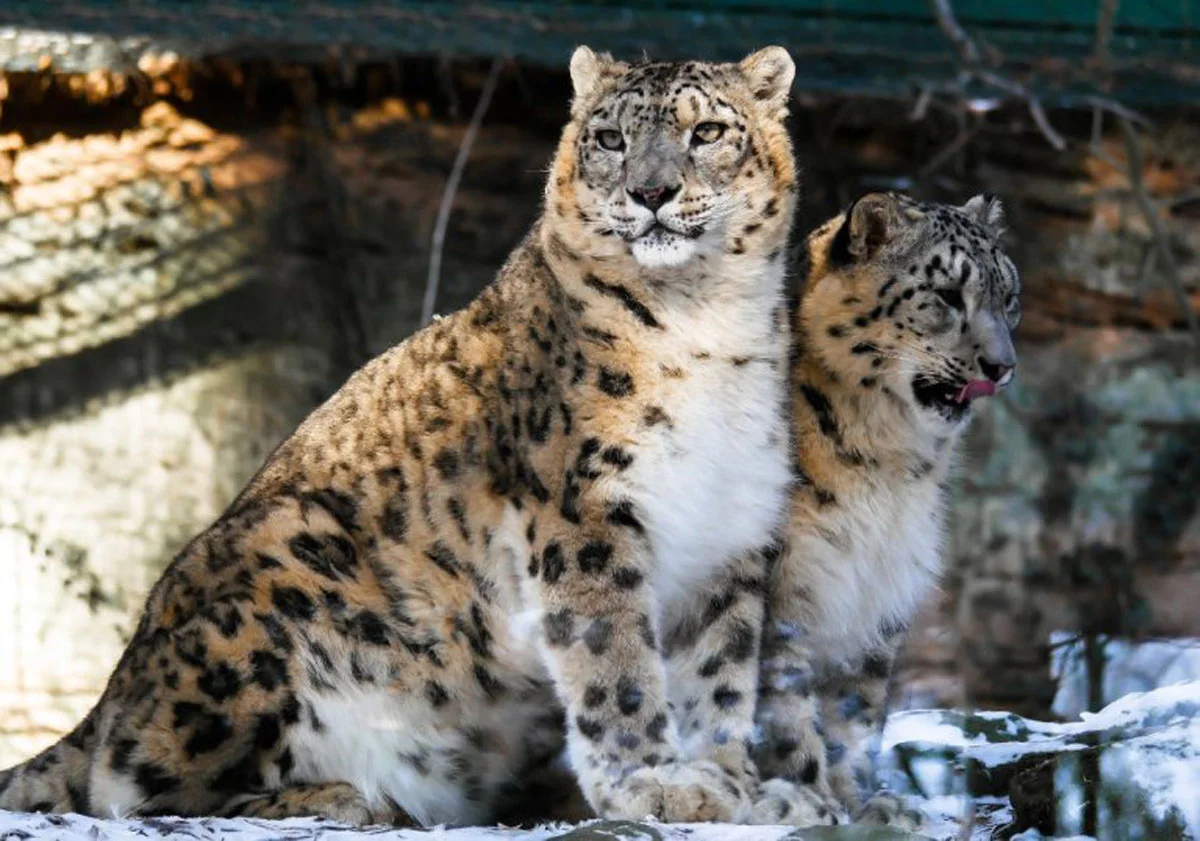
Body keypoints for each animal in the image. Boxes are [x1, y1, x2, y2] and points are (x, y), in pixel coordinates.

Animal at [0, 45, 800, 827]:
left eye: (706, 132)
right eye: (609, 139)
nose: (651, 191)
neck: (706, 327)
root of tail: (110, 688)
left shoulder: (730, 528)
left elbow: (722, 672)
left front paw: (737, 782)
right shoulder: (587, 512)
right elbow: (616, 657)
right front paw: (655, 782)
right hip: (273, 583)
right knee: (133, 784)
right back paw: (339, 796)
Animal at [749, 191, 1020, 828]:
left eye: (1010, 297)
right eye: (947, 294)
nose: (1002, 366)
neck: (886, 467)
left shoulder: (882, 589)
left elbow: (858, 708)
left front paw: (867, 802)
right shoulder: (786, 585)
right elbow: (783, 702)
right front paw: (809, 799)